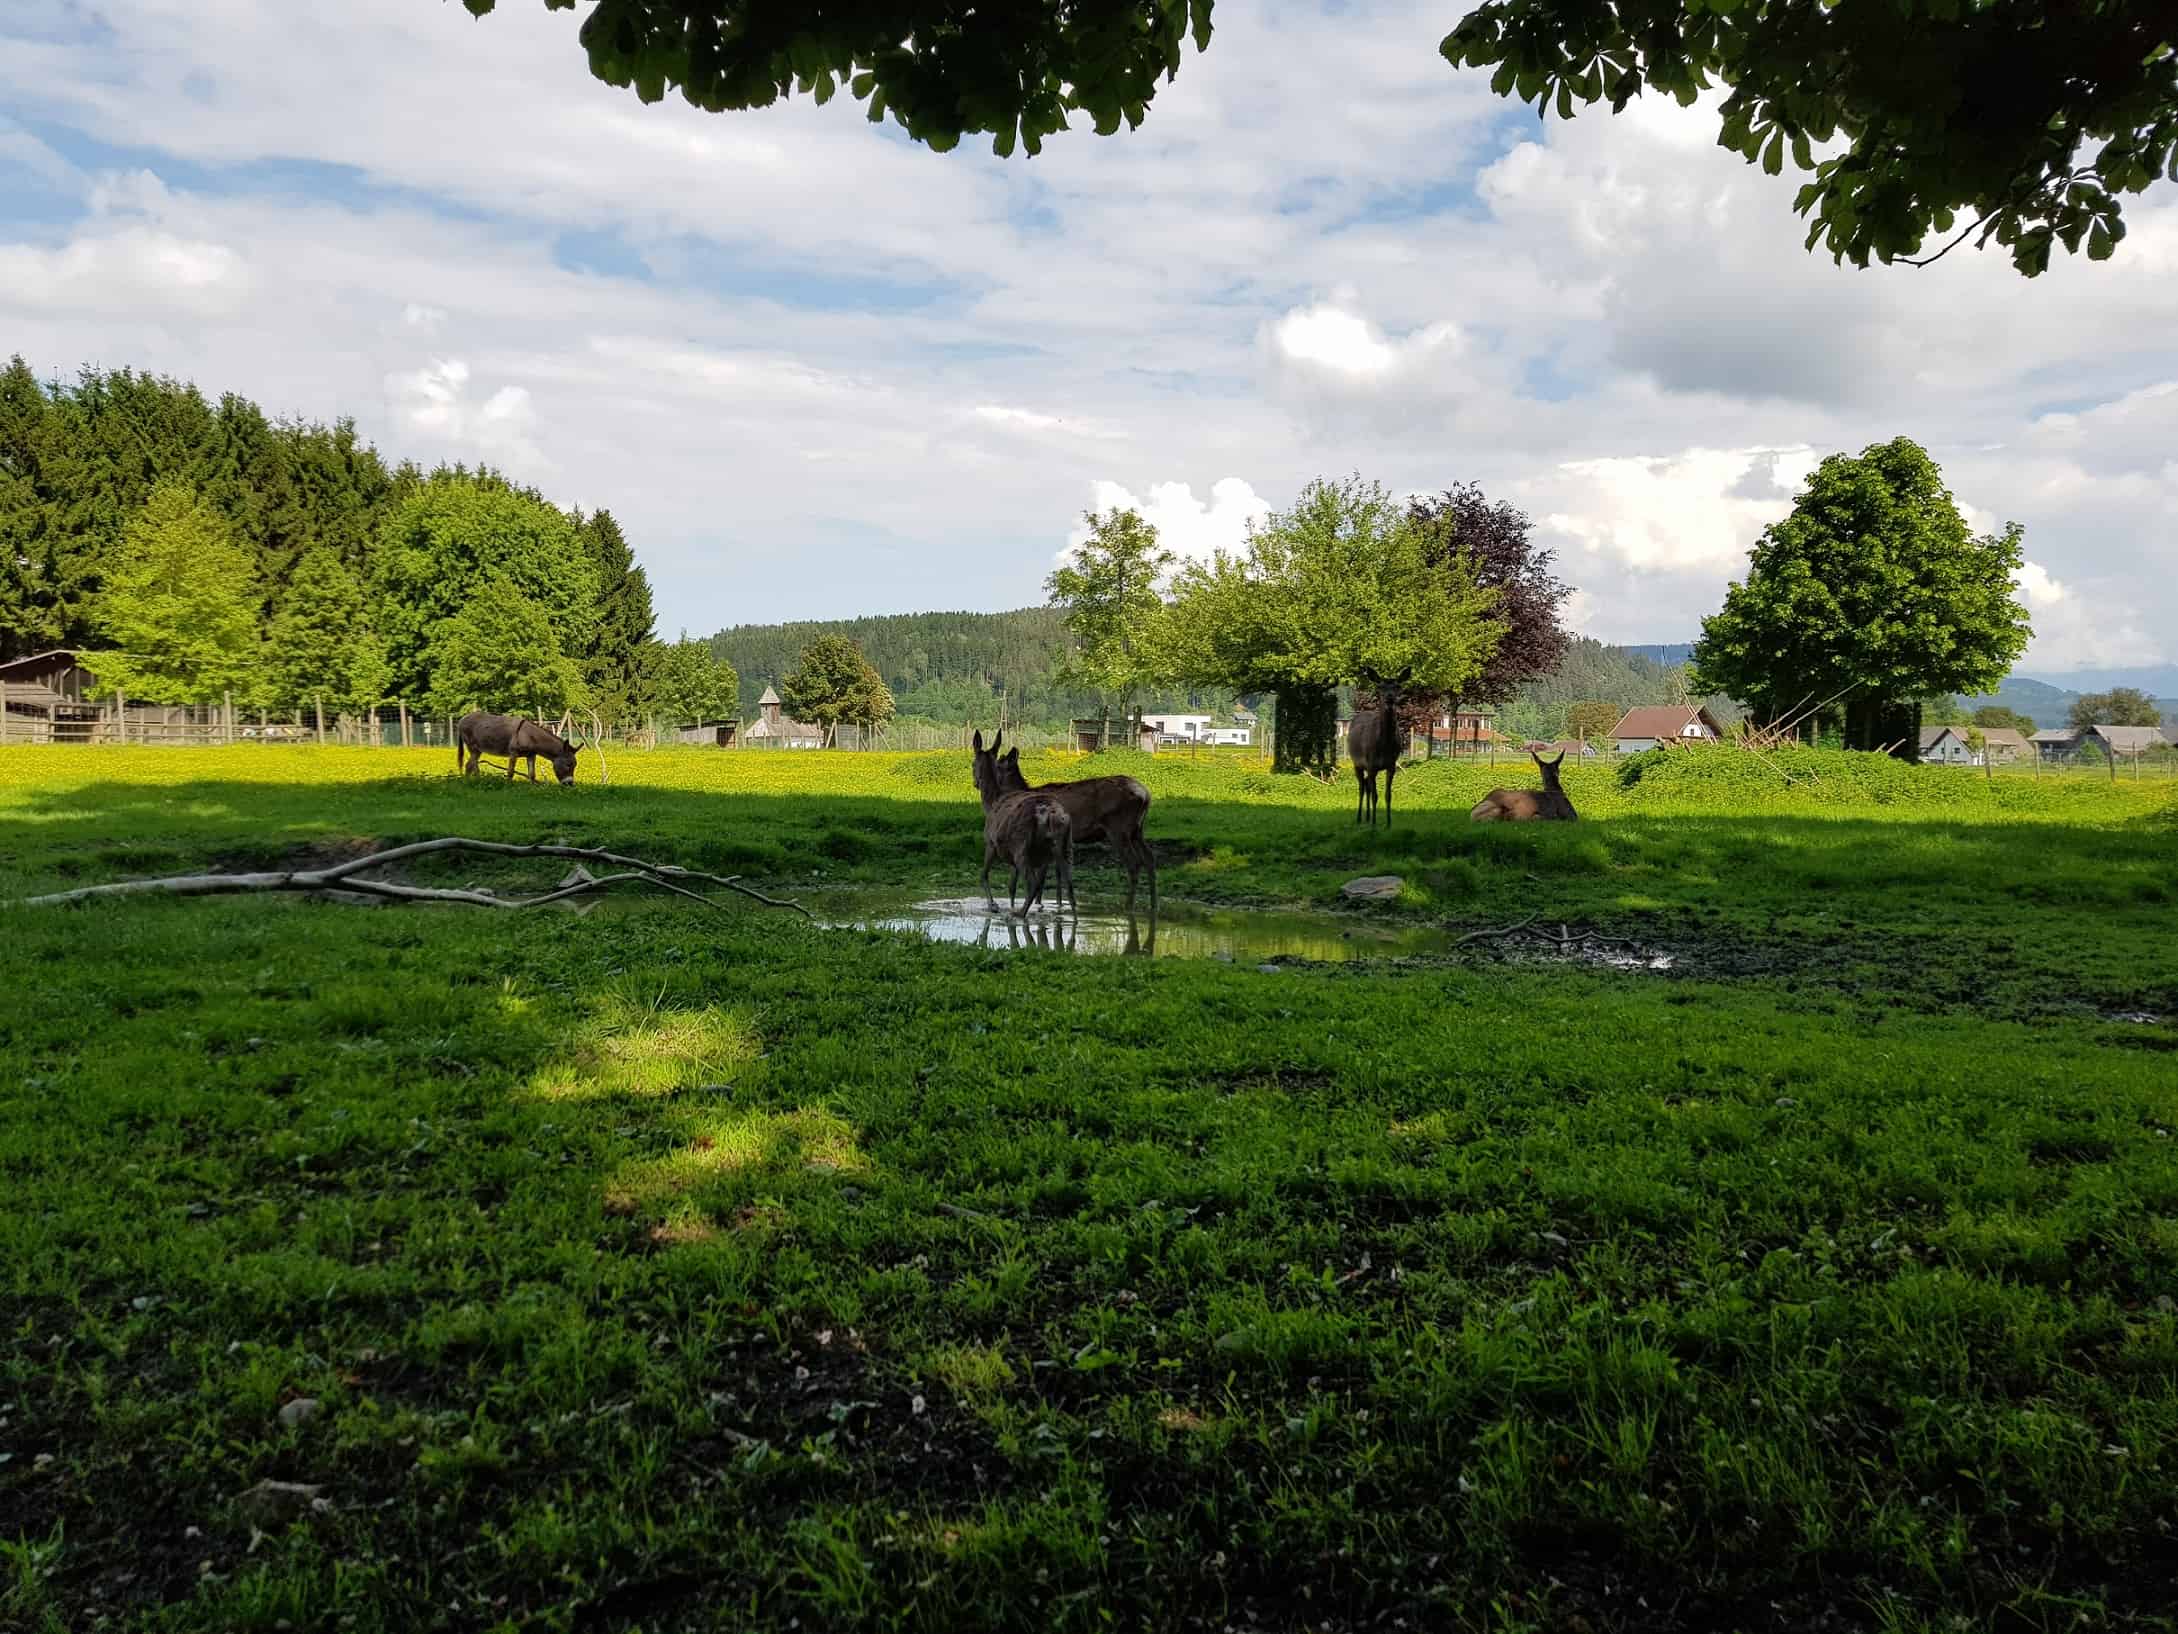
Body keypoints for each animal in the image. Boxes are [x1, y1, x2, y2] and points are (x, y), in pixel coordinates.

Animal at [971, 732, 1071, 915]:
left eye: (972, 763)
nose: (975, 783)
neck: (991, 804)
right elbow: (1012, 886)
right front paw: (1007, 903)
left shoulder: (990, 842)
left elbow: (983, 875)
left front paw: (993, 905)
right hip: (1054, 848)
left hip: (1022, 846)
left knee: (1033, 882)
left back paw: (1019, 913)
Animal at [988, 736, 1158, 915]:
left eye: (997, 765)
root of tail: (1146, 795)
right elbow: (1056, 872)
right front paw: (1057, 903)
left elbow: (1043, 874)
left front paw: (1040, 903)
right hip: (1137, 829)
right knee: (1149, 857)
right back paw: (1153, 905)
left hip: (1118, 827)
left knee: (1134, 862)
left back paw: (1129, 906)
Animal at [1341, 671, 1411, 832]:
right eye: (1380, 686)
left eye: (1398, 686)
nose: (1389, 697)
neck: (1384, 746)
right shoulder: (1371, 764)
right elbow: (1375, 795)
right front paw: (1374, 825)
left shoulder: (1391, 765)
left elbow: (1388, 795)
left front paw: (1388, 824)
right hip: (1357, 763)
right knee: (1362, 787)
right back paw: (1360, 818)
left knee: (1367, 785)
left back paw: (1367, 817)